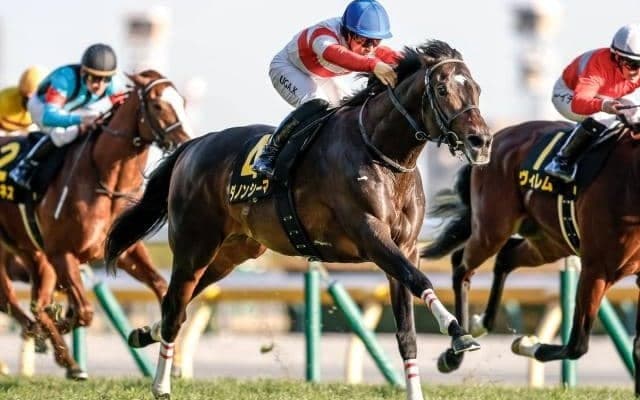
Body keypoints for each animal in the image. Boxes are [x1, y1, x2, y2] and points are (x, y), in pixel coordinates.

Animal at [0, 69, 191, 379]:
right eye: (158, 105)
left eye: (183, 101)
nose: (186, 140)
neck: (106, 184)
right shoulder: (61, 253)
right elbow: (85, 312)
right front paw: (61, 324)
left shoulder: (123, 250)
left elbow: (161, 286)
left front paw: (171, 364)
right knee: (14, 299)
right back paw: (61, 352)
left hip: (32, 254)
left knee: (30, 302)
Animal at [105, 40, 492, 400]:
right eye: (442, 89)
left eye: (476, 88)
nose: (481, 140)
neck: (383, 155)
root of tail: (194, 145)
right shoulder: (371, 235)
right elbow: (419, 279)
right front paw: (458, 332)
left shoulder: (406, 247)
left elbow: (407, 329)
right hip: (193, 244)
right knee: (175, 304)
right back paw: (161, 385)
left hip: (235, 251)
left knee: (184, 299)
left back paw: (145, 332)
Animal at [421, 115, 640, 394]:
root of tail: (499, 136)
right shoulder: (597, 269)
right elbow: (576, 345)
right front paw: (525, 343)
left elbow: (637, 346)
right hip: (492, 229)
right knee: (462, 266)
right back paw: (455, 352)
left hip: (549, 242)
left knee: (506, 257)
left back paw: (481, 324)